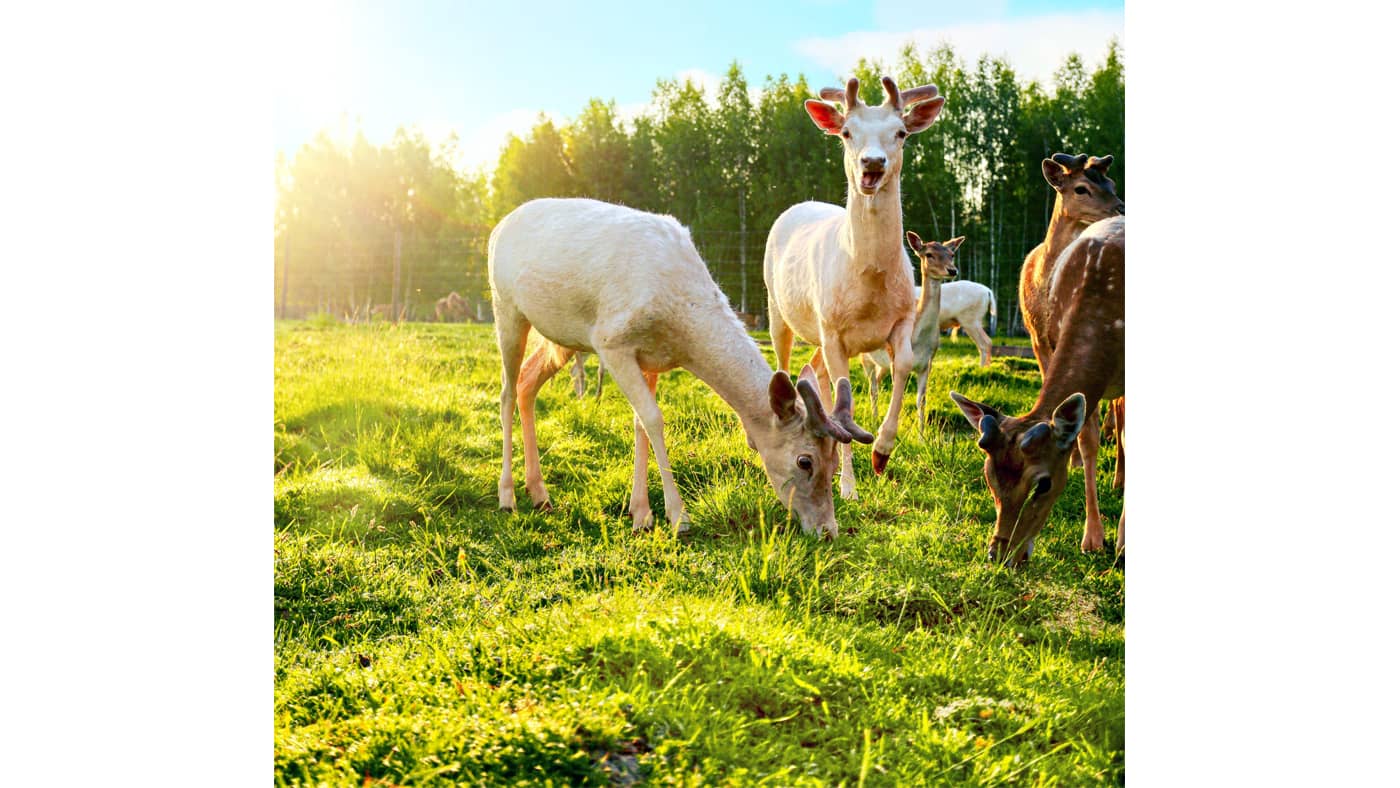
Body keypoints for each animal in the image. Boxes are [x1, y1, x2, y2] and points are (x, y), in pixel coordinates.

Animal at [487, 200, 868, 540]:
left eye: (834, 461)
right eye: (805, 461)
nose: (828, 530)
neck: (680, 324)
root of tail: (497, 227)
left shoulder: (650, 358)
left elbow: (640, 423)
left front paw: (640, 514)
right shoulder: (611, 342)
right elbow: (654, 419)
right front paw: (678, 517)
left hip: (560, 339)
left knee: (527, 383)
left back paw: (539, 493)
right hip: (506, 308)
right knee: (506, 392)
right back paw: (507, 496)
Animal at [761, 78, 946, 498]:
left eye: (901, 132)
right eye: (846, 132)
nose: (872, 163)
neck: (869, 287)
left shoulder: (902, 320)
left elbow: (903, 366)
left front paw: (881, 452)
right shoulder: (833, 329)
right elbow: (844, 396)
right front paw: (848, 487)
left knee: (816, 372)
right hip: (778, 308)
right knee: (785, 365)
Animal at [856, 232, 968, 431]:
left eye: (951, 254)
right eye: (929, 254)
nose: (952, 270)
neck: (919, 340)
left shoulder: (927, 363)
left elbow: (921, 400)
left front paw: (922, 433)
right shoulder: (895, 358)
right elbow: (897, 395)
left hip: (882, 364)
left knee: (877, 382)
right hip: (865, 358)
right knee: (872, 388)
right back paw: (874, 419)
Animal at [946, 212, 1120, 565]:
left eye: (1043, 484)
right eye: (988, 477)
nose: (999, 555)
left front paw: (1119, 541)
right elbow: (1087, 442)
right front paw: (1092, 538)